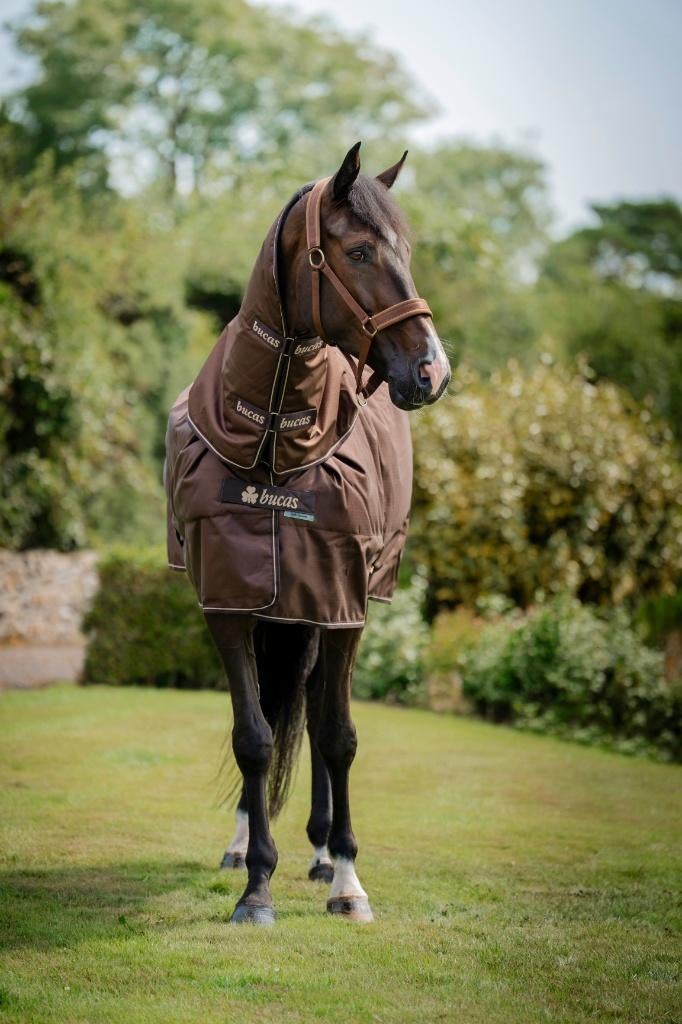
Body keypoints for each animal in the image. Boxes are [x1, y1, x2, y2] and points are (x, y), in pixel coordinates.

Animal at [165, 141, 451, 925]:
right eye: (357, 251)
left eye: (406, 251)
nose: (433, 370)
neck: (273, 447)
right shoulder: (228, 602)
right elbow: (254, 736)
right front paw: (255, 884)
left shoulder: (342, 603)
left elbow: (338, 735)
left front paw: (349, 879)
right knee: (277, 704)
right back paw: (245, 846)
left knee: (319, 708)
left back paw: (324, 853)